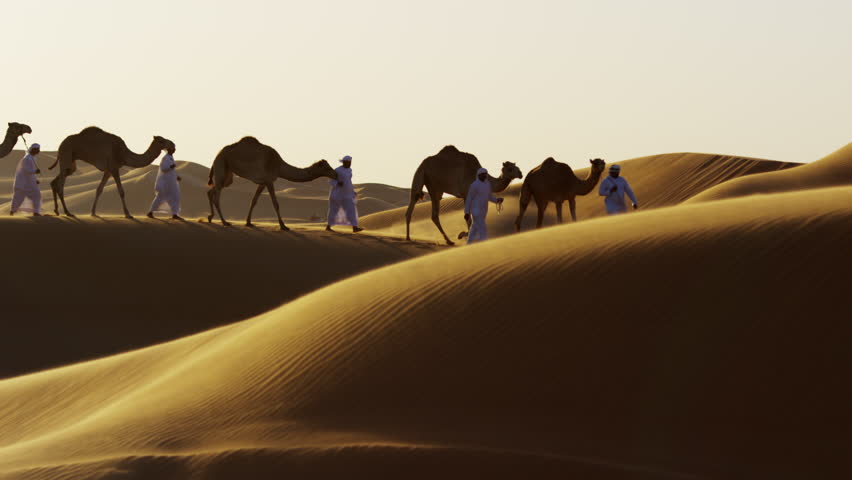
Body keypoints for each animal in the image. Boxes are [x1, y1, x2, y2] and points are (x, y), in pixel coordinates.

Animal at [208, 137, 338, 231]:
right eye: (327, 168)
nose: (336, 174)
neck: (278, 165)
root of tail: (218, 153)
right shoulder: (269, 180)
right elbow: (275, 203)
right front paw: (283, 226)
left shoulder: (263, 182)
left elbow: (254, 200)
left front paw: (248, 222)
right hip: (221, 165)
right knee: (216, 196)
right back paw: (224, 222)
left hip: (228, 174)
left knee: (211, 191)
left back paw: (210, 217)